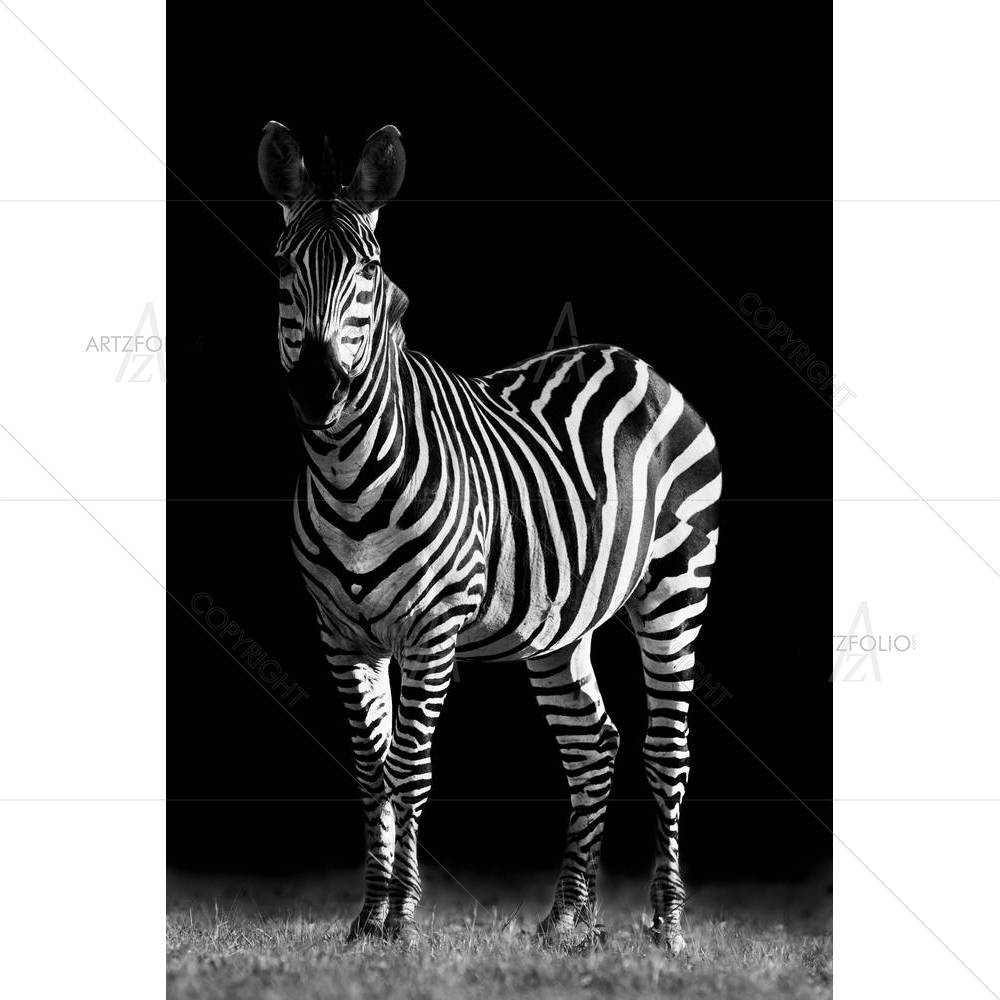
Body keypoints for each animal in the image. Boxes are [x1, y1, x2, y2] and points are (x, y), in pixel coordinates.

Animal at [257, 121, 721, 952]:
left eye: (369, 270)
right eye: (281, 266)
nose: (317, 388)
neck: (346, 470)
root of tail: (631, 360)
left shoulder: (432, 629)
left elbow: (409, 769)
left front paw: (402, 921)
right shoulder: (341, 637)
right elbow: (370, 772)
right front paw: (365, 920)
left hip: (677, 586)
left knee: (668, 752)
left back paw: (667, 930)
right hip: (558, 628)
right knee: (593, 745)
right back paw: (569, 920)